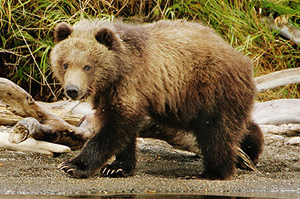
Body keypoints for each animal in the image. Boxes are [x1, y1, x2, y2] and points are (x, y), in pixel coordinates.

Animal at [50, 19, 264, 180]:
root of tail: (243, 59)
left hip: (211, 88)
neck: (117, 71)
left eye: (87, 66)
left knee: (217, 133)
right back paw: (252, 146)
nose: (72, 90)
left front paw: (73, 165)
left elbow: (114, 127)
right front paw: (117, 166)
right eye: (65, 64)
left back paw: (214, 172)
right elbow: (119, 126)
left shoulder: (131, 82)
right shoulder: (109, 93)